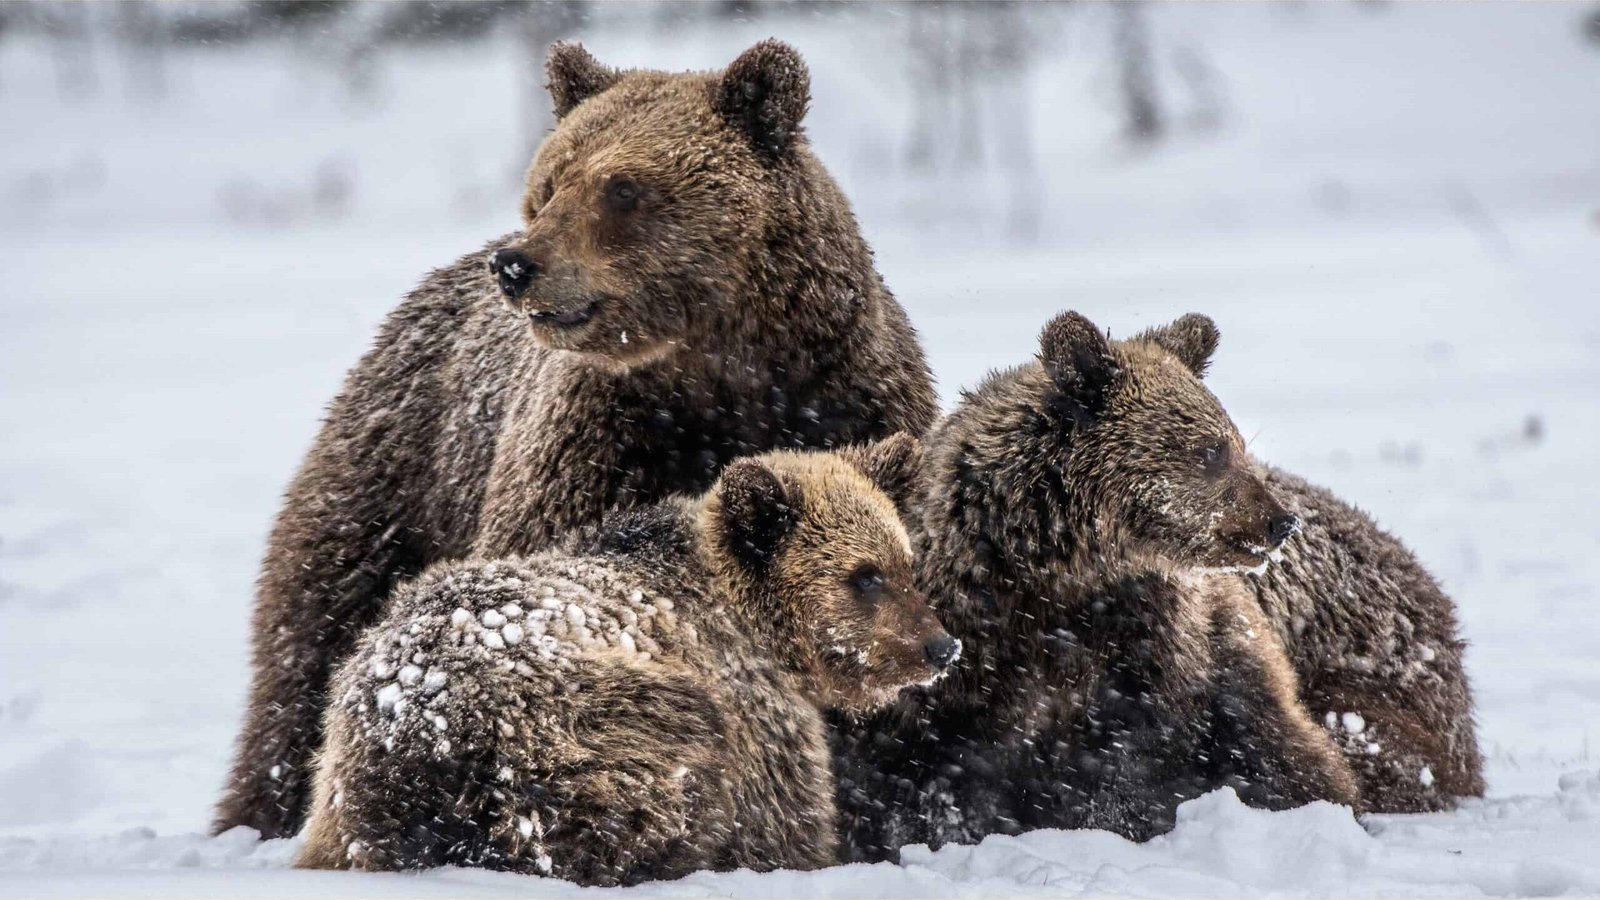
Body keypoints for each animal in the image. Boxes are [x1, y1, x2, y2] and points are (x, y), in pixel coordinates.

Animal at [216, 40, 938, 839]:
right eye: (551, 180)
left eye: (623, 186)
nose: (516, 263)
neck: (725, 374)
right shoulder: (594, 453)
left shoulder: (851, 405)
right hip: (395, 472)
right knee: (309, 634)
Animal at [294, 437, 959, 885]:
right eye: (863, 576)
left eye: (903, 561)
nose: (941, 647)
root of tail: (426, 732)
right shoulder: (759, 717)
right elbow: (786, 825)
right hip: (584, 722)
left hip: (344, 775)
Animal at [832, 311, 1361, 860]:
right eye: (1210, 451)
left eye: (1234, 443)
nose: (1281, 521)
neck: (1061, 567)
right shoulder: (957, 642)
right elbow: (923, 769)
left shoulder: (1147, 643)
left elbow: (1131, 758)